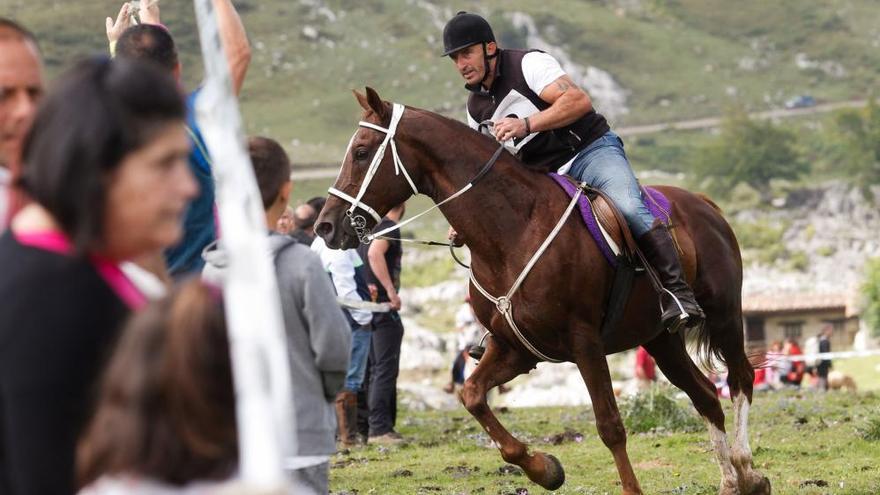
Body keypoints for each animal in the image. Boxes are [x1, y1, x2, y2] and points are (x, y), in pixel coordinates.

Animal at [318, 89, 768, 495]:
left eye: (361, 151)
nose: (326, 226)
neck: (511, 230)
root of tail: (705, 203)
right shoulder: (514, 348)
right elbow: (473, 395)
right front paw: (545, 469)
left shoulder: (584, 342)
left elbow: (610, 425)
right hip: (660, 338)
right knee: (705, 395)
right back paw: (731, 481)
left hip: (724, 314)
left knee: (740, 378)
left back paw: (747, 470)